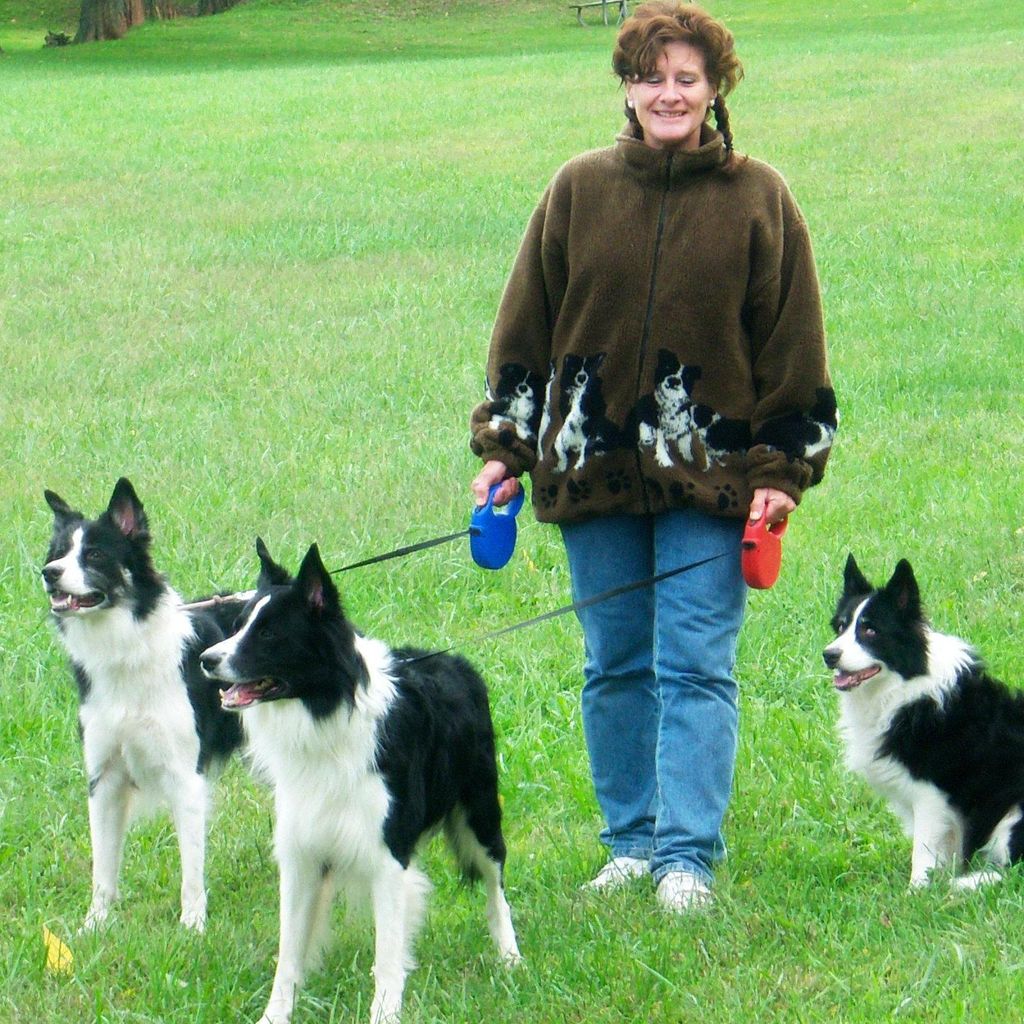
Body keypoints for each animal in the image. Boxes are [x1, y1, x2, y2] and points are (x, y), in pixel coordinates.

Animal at [40, 475, 244, 933]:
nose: (48, 574)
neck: (124, 649)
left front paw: (192, 927)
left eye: (95, 554)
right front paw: (94, 926)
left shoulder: (185, 775)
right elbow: (103, 866)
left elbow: (191, 869)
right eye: (58, 553)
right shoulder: (103, 775)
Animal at [199, 540, 520, 1019]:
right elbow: (288, 953)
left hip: (478, 813)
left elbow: (386, 954)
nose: (206, 660)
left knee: (495, 883)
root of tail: (456, 660)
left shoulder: (388, 854)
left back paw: (509, 956)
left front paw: (385, 1013)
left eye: (270, 635)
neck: (326, 714)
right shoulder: (301, 851)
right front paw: (275, 1014)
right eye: (238, 627)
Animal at [827, 561, 1024, 888]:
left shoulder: (932, 796)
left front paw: (917, 892)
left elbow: (923, 851)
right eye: (842, 627)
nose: (829, 655)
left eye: (870, 630)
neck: (905, 687)